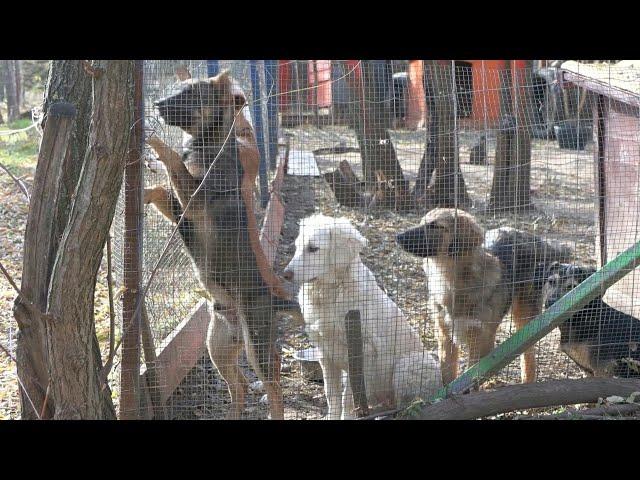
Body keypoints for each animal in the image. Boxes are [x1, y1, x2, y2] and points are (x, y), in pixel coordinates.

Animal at [145, 71, 298, 420]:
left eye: (190, 93)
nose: (157, 104)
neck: (211, 145)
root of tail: (275, 299)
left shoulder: (193, 200)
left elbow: (172, 159)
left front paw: (151, 137)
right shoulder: (181, 209)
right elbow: (161, 187)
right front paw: (144, 193)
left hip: (256, 346)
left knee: (274, 387)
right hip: (219, 347)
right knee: (239, 386)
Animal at [282, 215, 442, 420]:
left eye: (313, 249)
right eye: (297, 247)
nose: (285, 274)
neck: (331, 292)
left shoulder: (361, 352)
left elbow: (349, 397)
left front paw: (347, 415)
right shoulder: (325, 353)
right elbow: (332, 395)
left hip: (408, 365)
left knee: (407, 405)